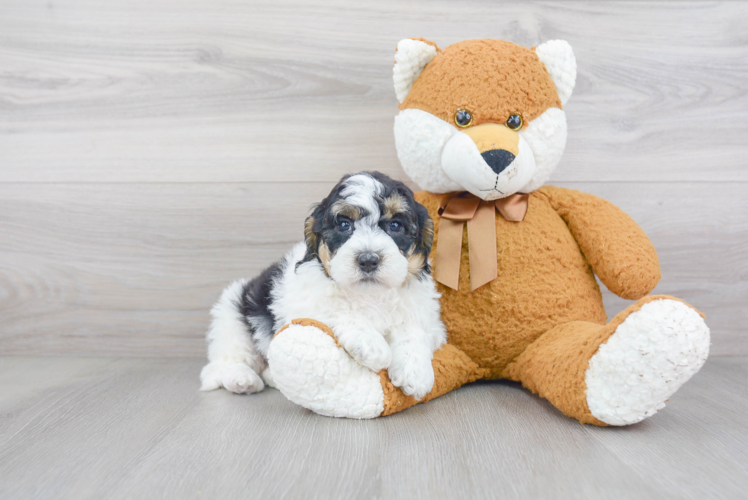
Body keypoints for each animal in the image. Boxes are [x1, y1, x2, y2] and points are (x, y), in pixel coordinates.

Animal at [199, 173, 444, 402]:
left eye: (395, 226)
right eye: (344, 225)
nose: (368, 260)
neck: (369, 295)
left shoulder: (426, 316)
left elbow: (412, 329)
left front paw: (415, 372)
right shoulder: (305, 304)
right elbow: (337, 310)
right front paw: (372, 346)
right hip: (233, 316)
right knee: (223, 362)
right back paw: (242, 379)